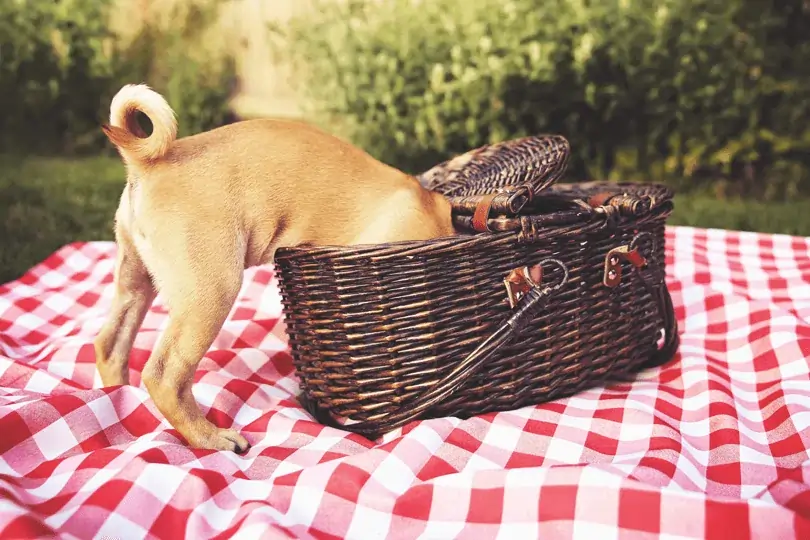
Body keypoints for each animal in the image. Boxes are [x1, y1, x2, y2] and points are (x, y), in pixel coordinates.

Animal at [94, 84, 454, 454]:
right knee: (165, 377)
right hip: (211, 293)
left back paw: (119, 395)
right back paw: (209, 437)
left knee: (111, 345)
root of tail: (149, 163)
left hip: (136, 282)